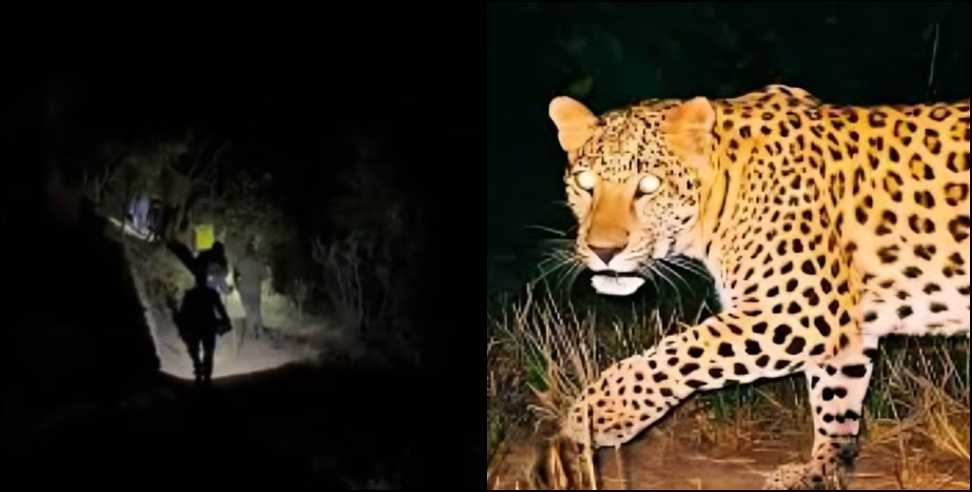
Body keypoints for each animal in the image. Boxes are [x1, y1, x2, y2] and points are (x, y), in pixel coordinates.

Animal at [534, 85, 969, 489]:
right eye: (585, 183)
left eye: (649, 185)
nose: (604, 250)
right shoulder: (841, 327)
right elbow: (836, 399)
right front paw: (822, 469)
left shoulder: (798, 310)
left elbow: (675, 354)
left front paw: (598, 413)